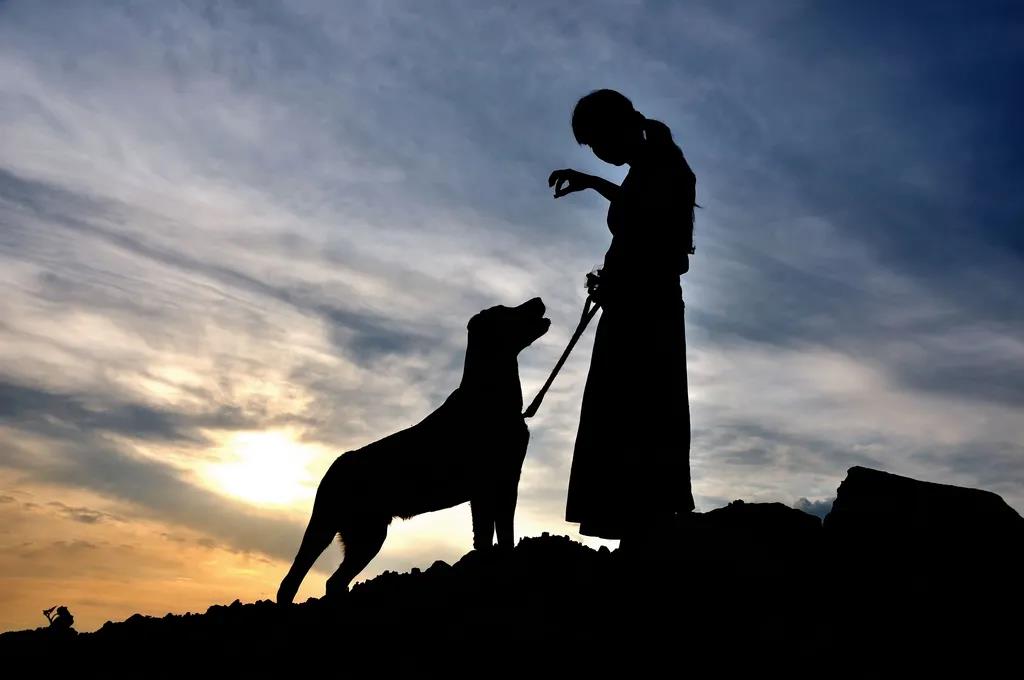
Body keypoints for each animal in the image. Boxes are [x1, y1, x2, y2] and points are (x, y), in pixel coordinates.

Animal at [276, 294, 552, 602]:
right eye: (505, 311)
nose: (538, 299)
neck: (491, 395)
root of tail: (335, 465)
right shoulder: (497, 483)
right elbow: (502, 535)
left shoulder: (494, 486)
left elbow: (489, 536)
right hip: (328, 525)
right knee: (292, 580)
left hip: (365, 533)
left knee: (332, 581)